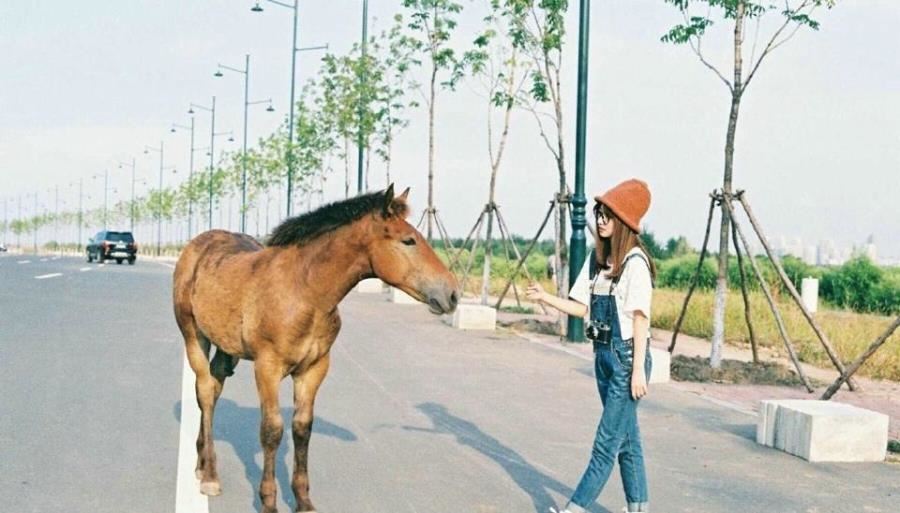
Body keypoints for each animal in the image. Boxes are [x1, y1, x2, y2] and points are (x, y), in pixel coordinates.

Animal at [171, 185, 458, 512]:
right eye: (408, 240)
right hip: (193, 334)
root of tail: (195, 246)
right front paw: (268, 502)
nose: (452, 294)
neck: (305, 291)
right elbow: (272, 430)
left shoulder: (314, 368)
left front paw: (304, 501)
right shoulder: (267, 367)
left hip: (226, 346)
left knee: (215, 386)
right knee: (206, 391)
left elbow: (302, 428)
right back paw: (210, 475)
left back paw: (200, 462)